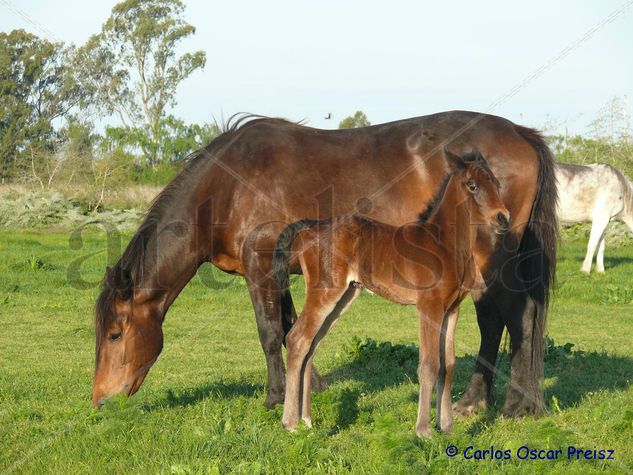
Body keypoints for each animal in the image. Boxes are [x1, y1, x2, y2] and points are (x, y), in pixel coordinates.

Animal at [272, 147, 508, 436]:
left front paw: (447, 427)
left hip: (344, 297)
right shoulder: (429, 307)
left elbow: (448, 365)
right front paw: (424, 430)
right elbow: (429, 364)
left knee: (311, 345)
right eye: (472, 185)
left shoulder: (452, 309)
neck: (444, 244)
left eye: (497, 184)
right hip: (325, 293)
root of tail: (310, 228)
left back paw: (307, 420)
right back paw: (290, 423)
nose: (503, 218)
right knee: (297, 339)